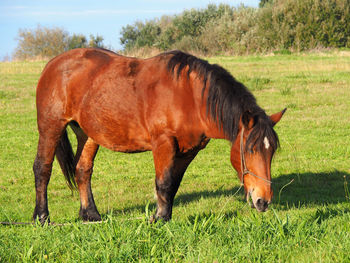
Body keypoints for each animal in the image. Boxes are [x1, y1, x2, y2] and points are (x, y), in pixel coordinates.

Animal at [32, 48, 284, 224]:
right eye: (250, 150)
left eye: (271, 152)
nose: (264, 201)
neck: (190, 97)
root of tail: (52, 64)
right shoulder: (163, 143)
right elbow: (163, 183)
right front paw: (160, 219)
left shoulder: (188, 151)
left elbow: (173, 184)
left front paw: (165, 216)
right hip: (50, 126)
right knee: (42, 168)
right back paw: (41, 217)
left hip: (88, 134)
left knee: (82, 170)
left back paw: (91, 215)